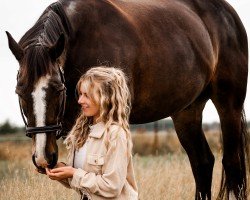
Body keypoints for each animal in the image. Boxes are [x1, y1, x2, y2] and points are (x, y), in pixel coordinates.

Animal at [5, 0, 248, 199]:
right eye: (20, 91)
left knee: (231, 164)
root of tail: (229, 15)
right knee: (202, 163)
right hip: (187, 112)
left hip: (229, 106)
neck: (81, 39)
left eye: (57, 89)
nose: (43, 158)